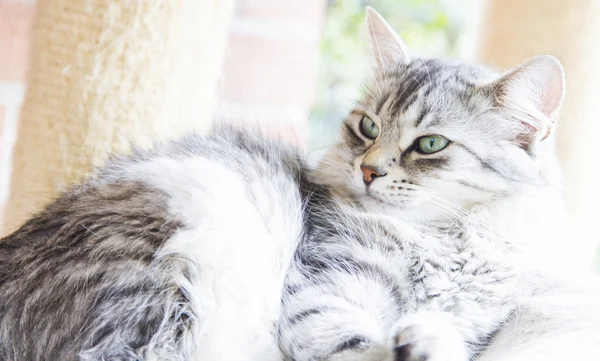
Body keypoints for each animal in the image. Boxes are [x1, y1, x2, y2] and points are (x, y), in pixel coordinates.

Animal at [0, 5, 596, 360]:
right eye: (368, 127)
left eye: (430, 145)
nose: (369, 170)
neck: (450, 244)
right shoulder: (323, 296)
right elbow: (359, 343)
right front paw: (407, 343)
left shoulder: (476, 322)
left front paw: (425, 337)